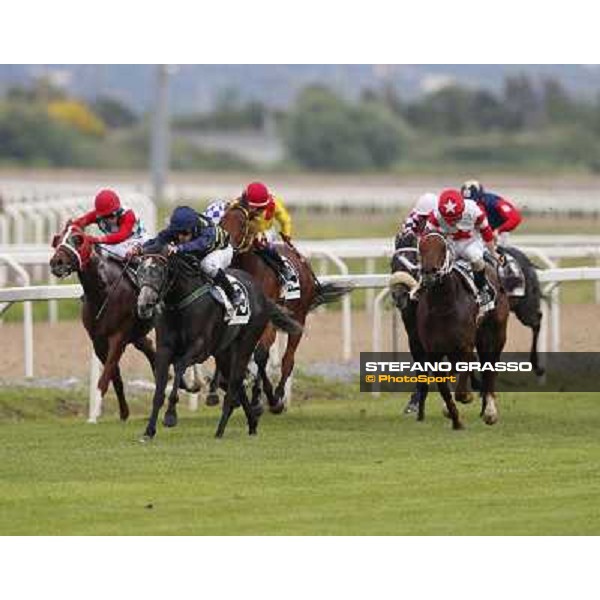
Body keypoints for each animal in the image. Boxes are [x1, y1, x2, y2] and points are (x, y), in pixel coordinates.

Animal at [138, 251, 302, 438]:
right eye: (139, 272)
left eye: (159, 272)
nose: (144, 304)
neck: (180, 302)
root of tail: (262, 295)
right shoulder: (164, 349)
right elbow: (159, 388)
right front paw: (149, 431)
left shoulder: (200, 348)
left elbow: (179, 367)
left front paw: (170, 415)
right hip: (224, 352)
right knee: (235, 383)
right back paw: (252, 423)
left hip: (246, 343)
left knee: (235, 382)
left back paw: (221, 429)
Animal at [219, 202, 352, 412]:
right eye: (222, 221)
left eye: (242, 224)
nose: (226, 244)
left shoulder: (268, 320)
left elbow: (261, 355)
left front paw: (265, 398)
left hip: (298, 318)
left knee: (287, 360)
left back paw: (278, 397)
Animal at [414, 232, 508, 428]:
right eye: (421, 248)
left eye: (443, 249)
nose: (429, 274)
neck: (442, 306)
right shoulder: (434, 353)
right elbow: (445, 390)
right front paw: (456, 421)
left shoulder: (465, 345)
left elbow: (461, 390)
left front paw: (467, 397)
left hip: (497, 334)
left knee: (491, 367)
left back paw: (490, 411)